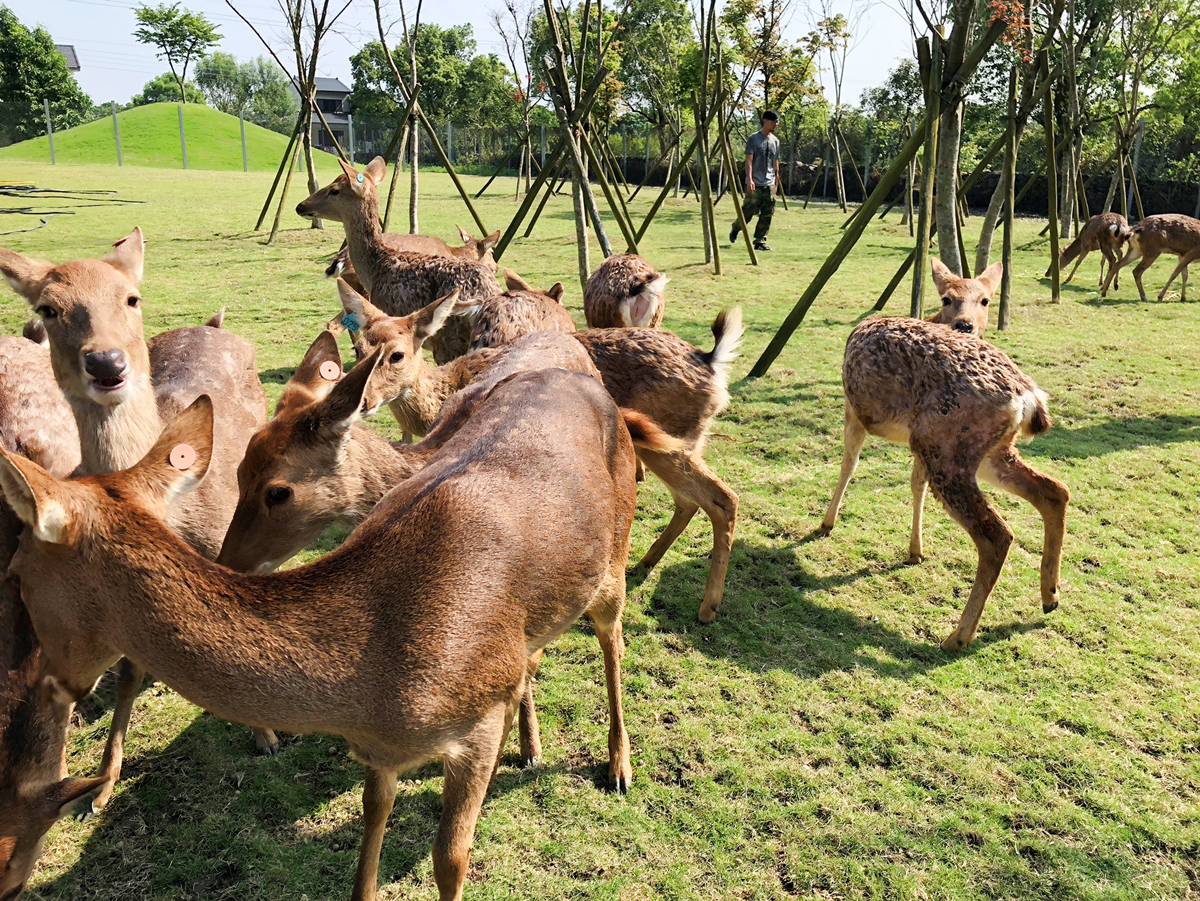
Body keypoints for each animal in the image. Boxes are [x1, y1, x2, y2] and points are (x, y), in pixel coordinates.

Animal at [0, 229, 272, 810]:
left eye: (131, 297)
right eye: (48, 308)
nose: (106, 363)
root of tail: (214, 325)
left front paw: (265, 736)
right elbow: (126, 673)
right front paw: (103, 782)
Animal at [0, 353, 640, 901]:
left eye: (15, 573)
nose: (46, 685)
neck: (370, 686)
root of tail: (589, 382)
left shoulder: (475, 727)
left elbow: (449, 858)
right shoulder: (380, 752)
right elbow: (370, 830)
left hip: (615, 558)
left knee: (612, 639)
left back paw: (618, 767)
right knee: (534, 655)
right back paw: (531, 745)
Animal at [817, 314, 1070, 651]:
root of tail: (1029, 399)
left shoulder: (854, 408)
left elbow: (849, 463)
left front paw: (825, 524)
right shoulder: (915, 446)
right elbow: (915, 484)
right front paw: (915, 551)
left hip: (944, 445)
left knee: (997, 534)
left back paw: (958, 636)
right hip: (982, 450)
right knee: (1054, 491)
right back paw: (1050, 596)